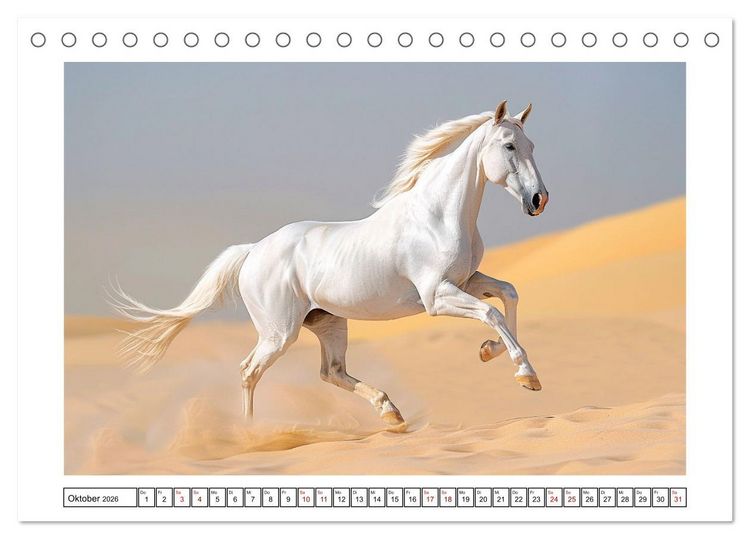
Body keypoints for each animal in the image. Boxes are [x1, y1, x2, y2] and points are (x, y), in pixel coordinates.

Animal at [112, 100, 549, 429]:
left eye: (531, 145)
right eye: (509, 146)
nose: (539, 200)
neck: (437, 215)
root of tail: (253, 251)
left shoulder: (467, 280)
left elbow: (508, 295)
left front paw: (489, 352)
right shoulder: (436, 296)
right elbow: (491, 312)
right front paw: (526, 375)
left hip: (328, 323)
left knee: (331, 372)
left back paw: (391, 413)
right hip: (279, 333)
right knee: (250, 371)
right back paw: (250, 434)